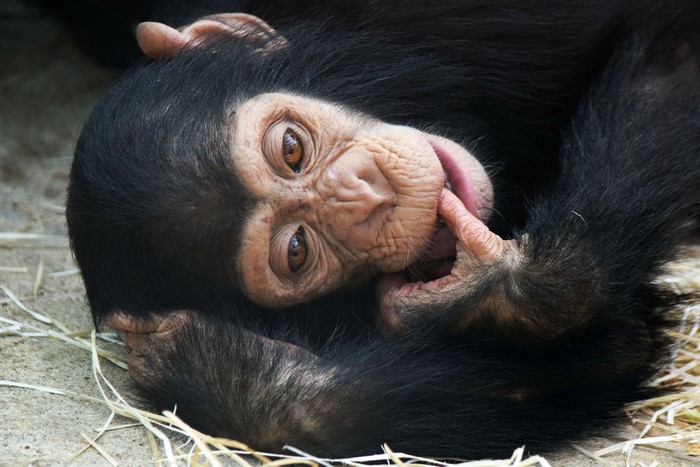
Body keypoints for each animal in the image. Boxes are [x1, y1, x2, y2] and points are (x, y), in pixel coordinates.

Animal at [65, 0, 700, 458]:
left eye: (290, 148)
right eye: (296, 250)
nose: (366, 194)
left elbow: (672, 43)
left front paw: (516, 279)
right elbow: (617, 350)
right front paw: (234, 375)